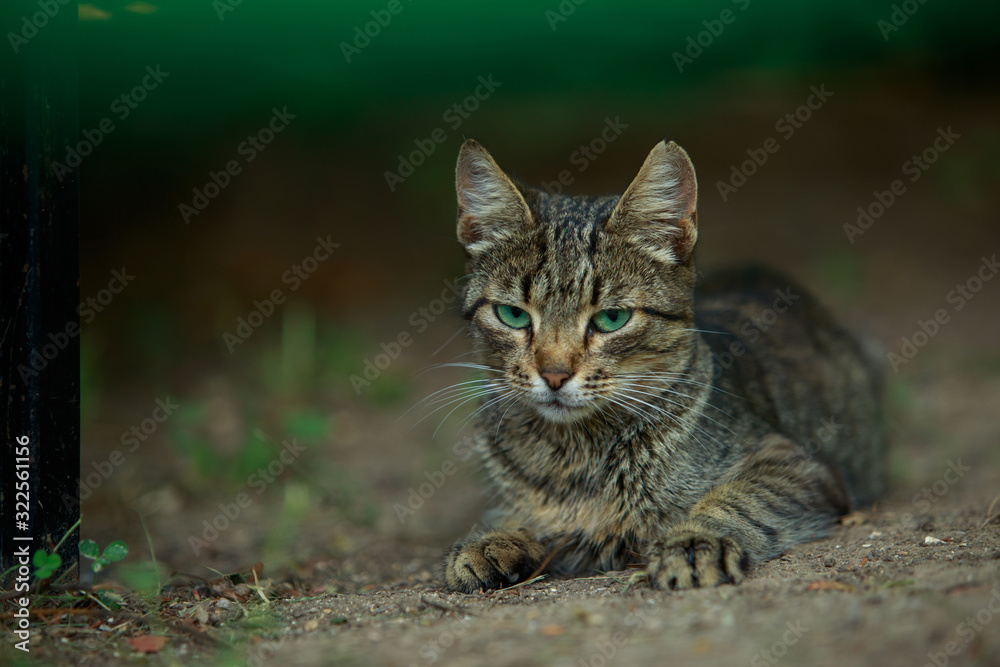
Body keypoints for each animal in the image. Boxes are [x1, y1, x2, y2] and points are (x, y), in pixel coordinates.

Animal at [442, 138, 888, 592]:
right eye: (512, 315)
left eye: (612, 318)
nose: (554, 374)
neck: (574, 459)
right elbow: (521, 517)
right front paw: (494, 539)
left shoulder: (799, 466)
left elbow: (739, 500)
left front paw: (694, 540)